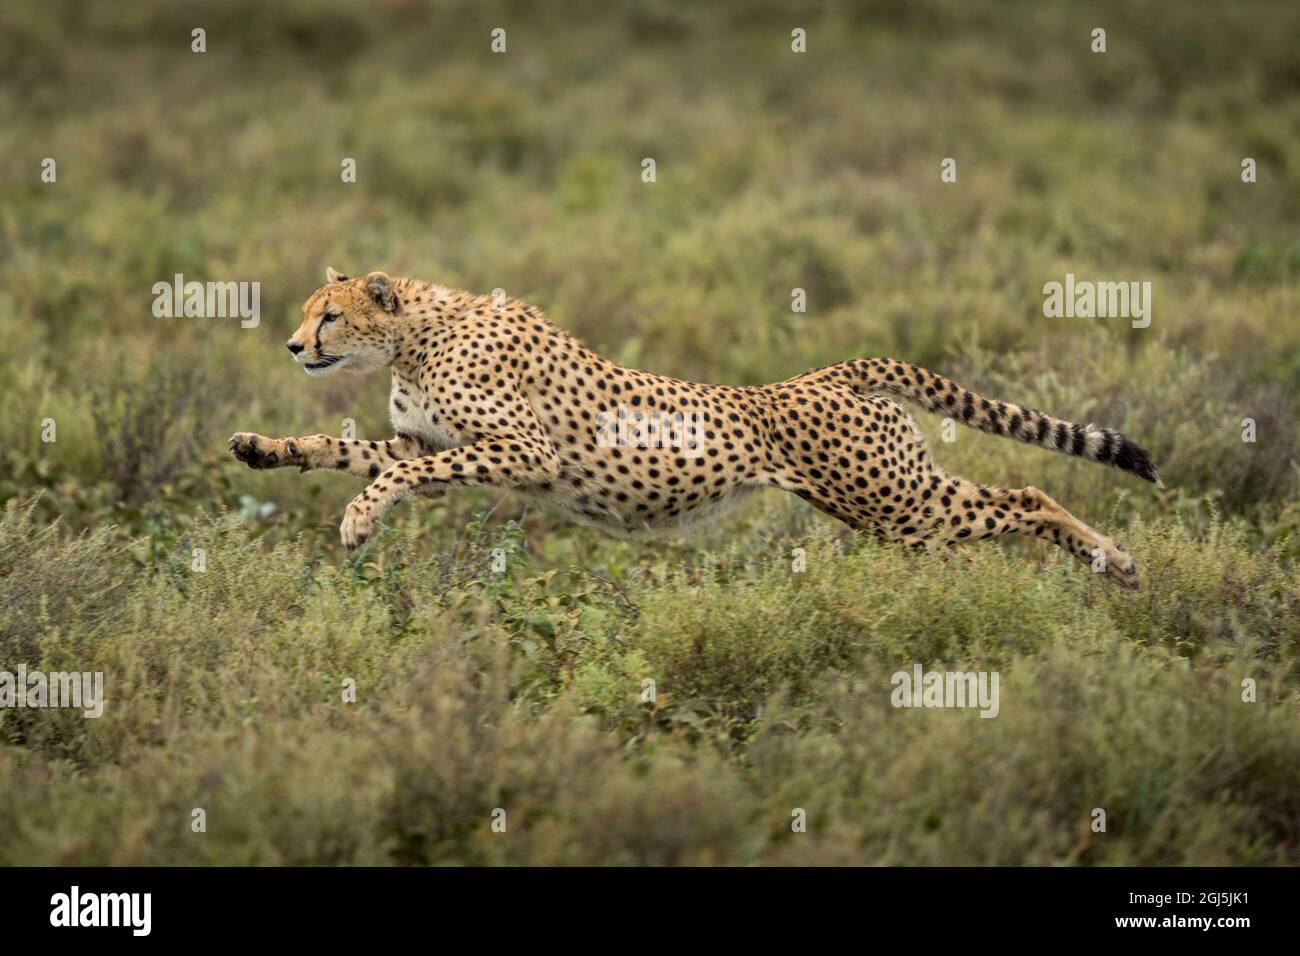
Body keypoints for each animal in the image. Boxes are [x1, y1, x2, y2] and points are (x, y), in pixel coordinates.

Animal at [228, 265, 1164, 587]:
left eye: (330, 315)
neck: (416, 335)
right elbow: (348, 450)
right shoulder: (429, 441)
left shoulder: (521, 452)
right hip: (891, 504)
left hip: (898, 505)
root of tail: (830, 371)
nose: (293, 344)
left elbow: (396, 475)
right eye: (306, 312)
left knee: (1030, 494)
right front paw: (263, 447)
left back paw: (1116, 562)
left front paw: (357, 522)